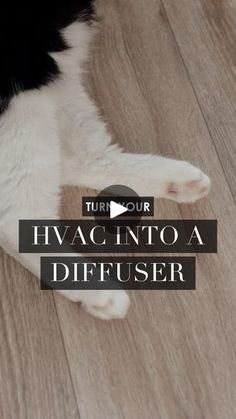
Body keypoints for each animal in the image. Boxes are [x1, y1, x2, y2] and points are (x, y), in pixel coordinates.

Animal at [0, 1, 210, 320]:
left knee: (80, 158)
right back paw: (95, 290)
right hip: (26, 81)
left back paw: (176, 181)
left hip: (54, 69)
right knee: (17, 214)